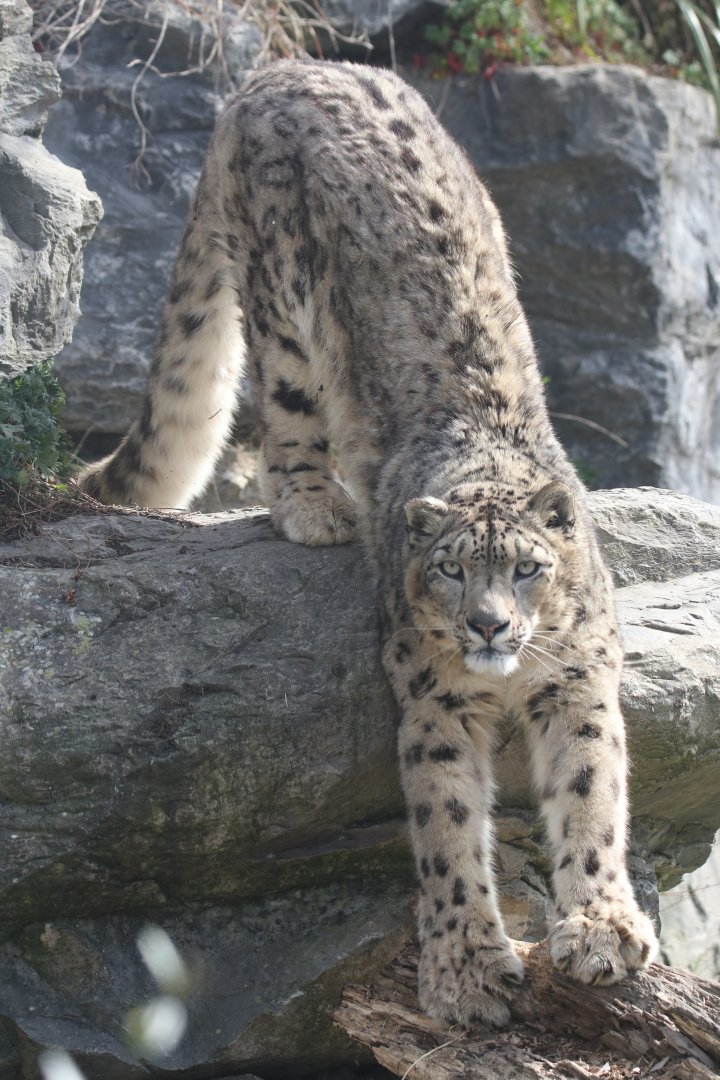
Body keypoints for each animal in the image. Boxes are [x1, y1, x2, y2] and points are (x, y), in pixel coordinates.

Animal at [79, 59, 658, 1027]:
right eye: (451, 569)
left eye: (528, 569)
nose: (490, 627)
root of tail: (282, 70)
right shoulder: (433, 696)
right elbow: (448, 829)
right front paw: (465, 971)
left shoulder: (578, 680)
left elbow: (593, 797)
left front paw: (602, 931)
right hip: (283, 300)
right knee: (282, 403)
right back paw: (317, 506)